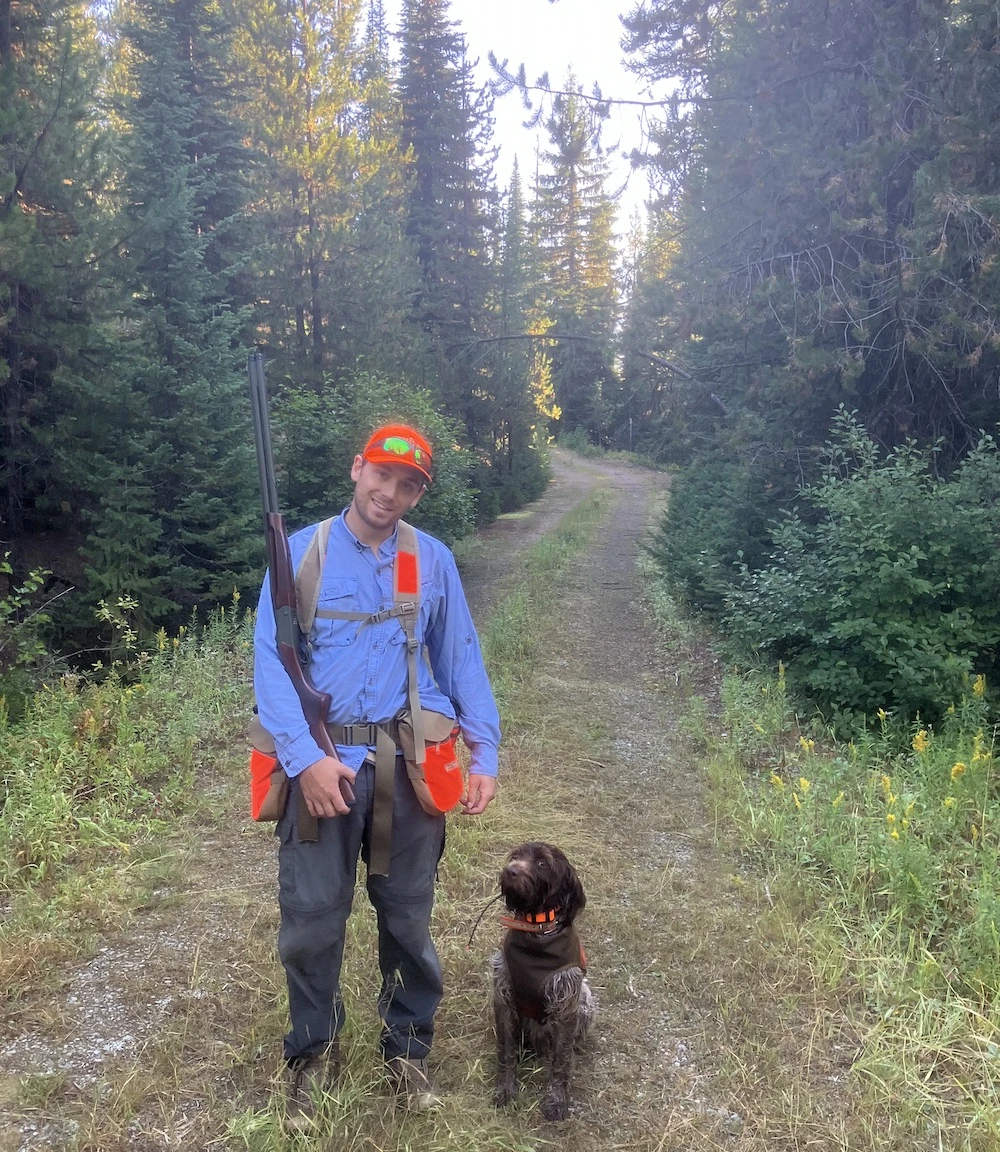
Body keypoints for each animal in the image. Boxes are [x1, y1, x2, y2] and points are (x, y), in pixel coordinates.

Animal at [490, 843, 594, 1119]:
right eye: (515, 856)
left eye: (541, 863)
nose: (511, 871)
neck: (536, 932)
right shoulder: (503, 998)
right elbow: (506, 1052)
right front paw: (506, 1089)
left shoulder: (566, 1006)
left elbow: (560, 1062)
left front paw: (557, 1100)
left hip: (586, 1000)